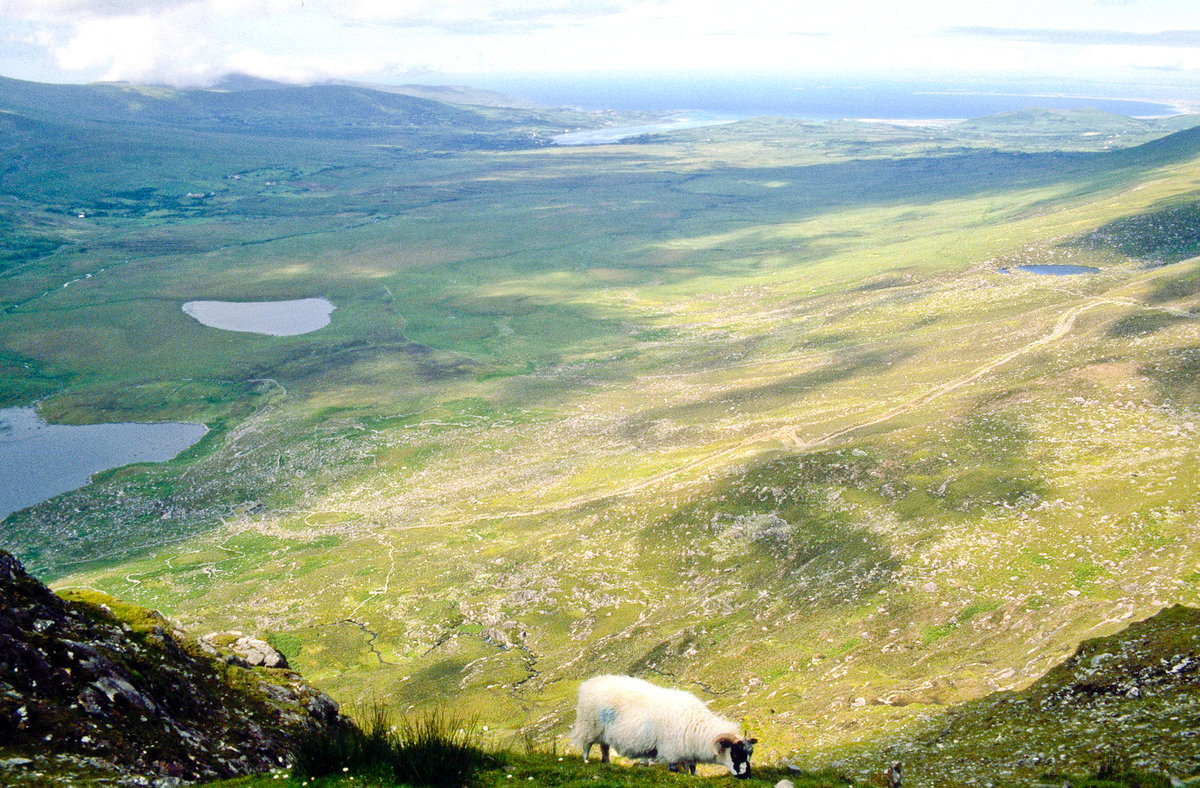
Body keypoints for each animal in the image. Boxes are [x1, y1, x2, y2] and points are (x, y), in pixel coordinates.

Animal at [566, 671, 753, 777]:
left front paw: (692, 777)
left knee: (604, 747)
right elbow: (675, 770)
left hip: (604, 732)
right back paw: (586, 761)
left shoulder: (686, 752)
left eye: (749, 754)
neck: (699, 729)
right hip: (590, 725)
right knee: (587, 744)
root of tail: (587, 684)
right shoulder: (672, 752)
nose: (746, 775)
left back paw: (606, 763)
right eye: (735, 754)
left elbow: (691, 769)